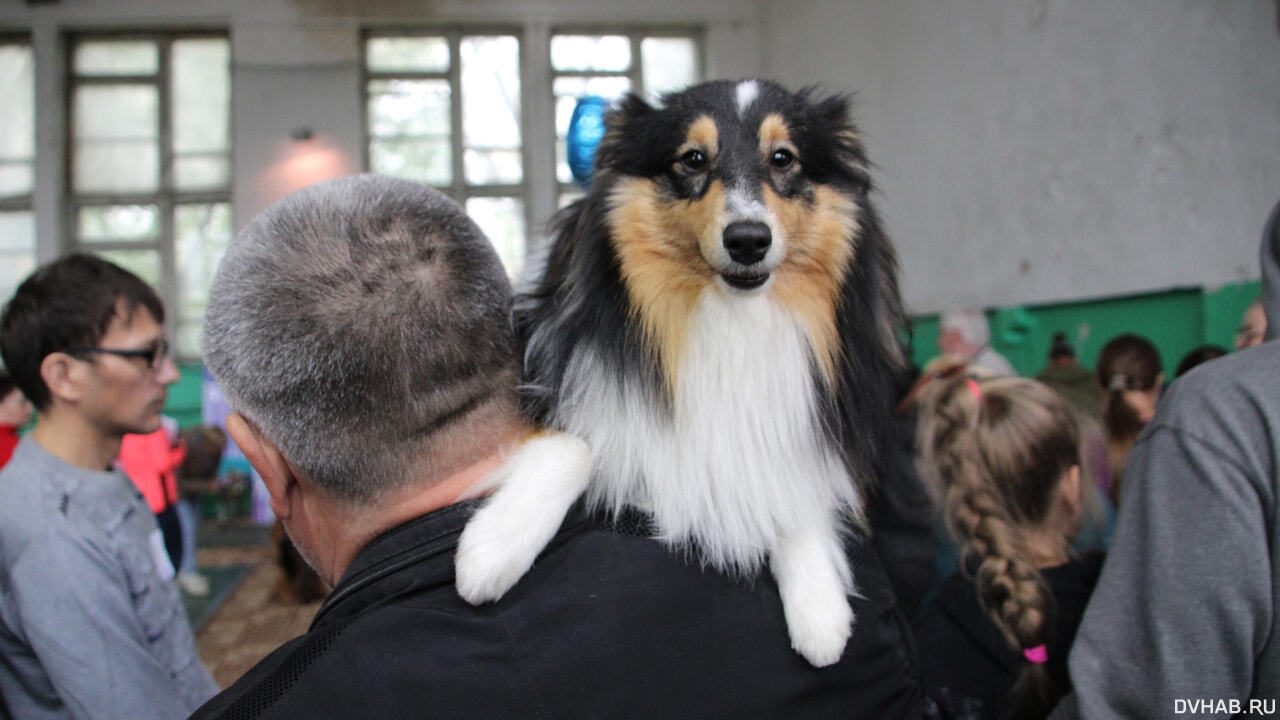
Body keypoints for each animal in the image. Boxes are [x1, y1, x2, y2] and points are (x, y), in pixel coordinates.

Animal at [455, 75, 906, 666]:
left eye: (783, 158)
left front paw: (819, 606)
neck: (730, 317)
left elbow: (791, 472)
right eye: (692, 159)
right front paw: (493, 549)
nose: (747, 240)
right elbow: (577, 443)